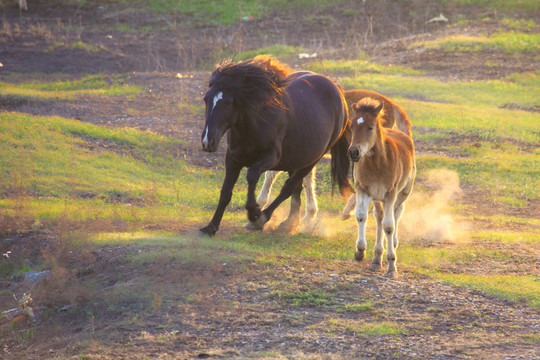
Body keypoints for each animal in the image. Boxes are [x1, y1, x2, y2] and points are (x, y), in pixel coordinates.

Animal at [198, 56, 350, 236]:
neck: (254, 124)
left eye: (228, 102)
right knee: (296, 189)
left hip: (312, 159)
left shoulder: (271, 157)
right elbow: (225, 193)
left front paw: (254, 213)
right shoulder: (232, 159)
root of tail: (337, 90)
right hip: (297, 158)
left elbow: (252, 175)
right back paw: (289, 223)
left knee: (289, 187)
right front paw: (211, 227)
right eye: (206, 98)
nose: (208, 142)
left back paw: (267, 220)